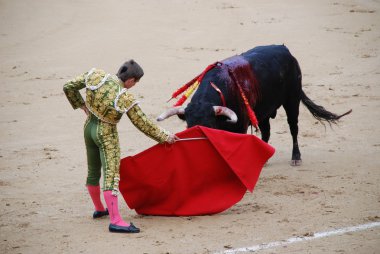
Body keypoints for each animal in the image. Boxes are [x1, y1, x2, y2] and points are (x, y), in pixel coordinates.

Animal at [157, 44, 350, 166]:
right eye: (188, 126)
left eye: (209, 125)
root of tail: (287, 52)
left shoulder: (240, 126)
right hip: (263, 112)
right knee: (266, 132)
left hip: (292, 99)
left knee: (293, 127)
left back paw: (296, 157)